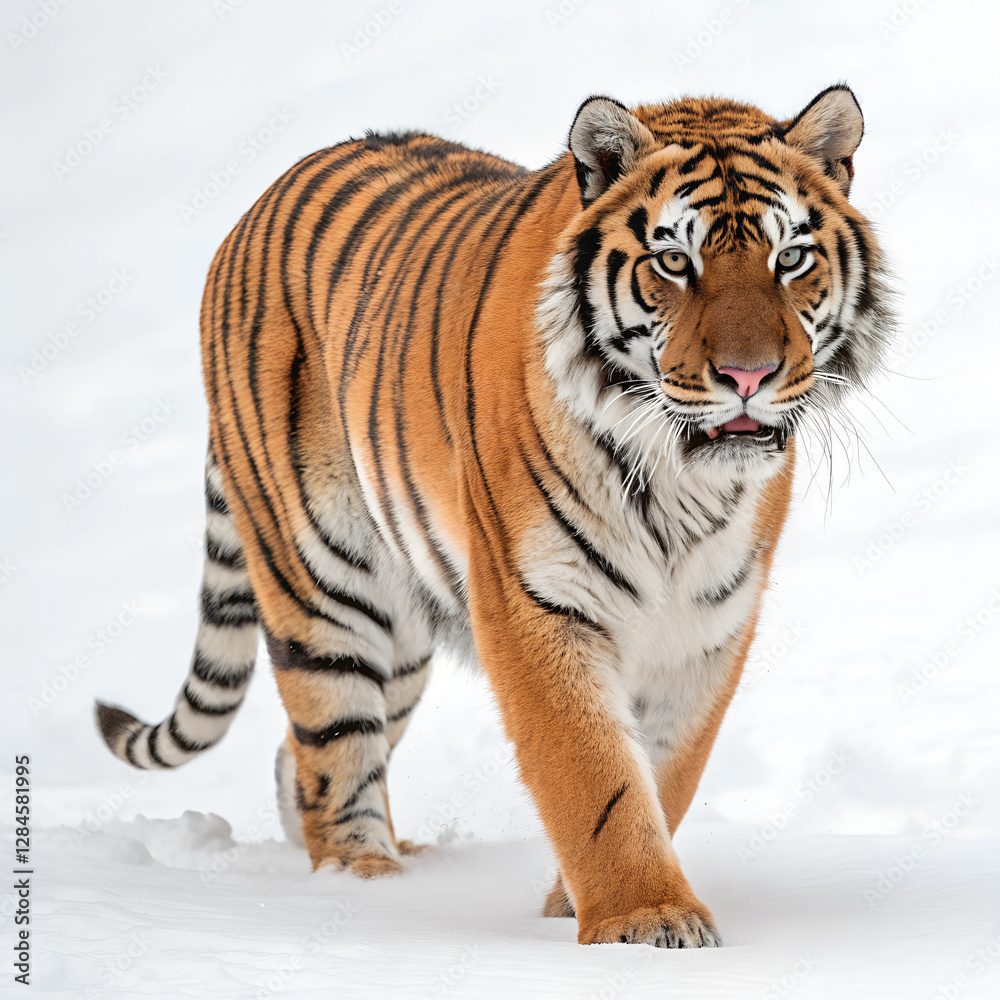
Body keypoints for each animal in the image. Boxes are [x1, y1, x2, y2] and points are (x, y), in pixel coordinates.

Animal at [96, 84, 894, 948]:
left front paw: (583, 907)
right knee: (331, 744)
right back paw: (362, 883)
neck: (680, 481)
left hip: (402, 629)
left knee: (299, 754)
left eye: (791, 259)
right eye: (675, 261)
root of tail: (257, 207)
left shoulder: (707, 623)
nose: (748, 376)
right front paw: (644, 918)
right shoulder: (537, 601)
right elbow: (594, 778)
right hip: (323, 583)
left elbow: (667, 770)